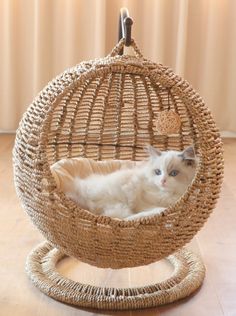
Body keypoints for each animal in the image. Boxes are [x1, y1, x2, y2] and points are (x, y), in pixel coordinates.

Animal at [64, 145, 197, 220]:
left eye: (174, 173)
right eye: (158, 172)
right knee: (124, 218)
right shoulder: (143, 204)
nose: (162, 181)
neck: (167, 195)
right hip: (119, 206)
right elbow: (156, 208)